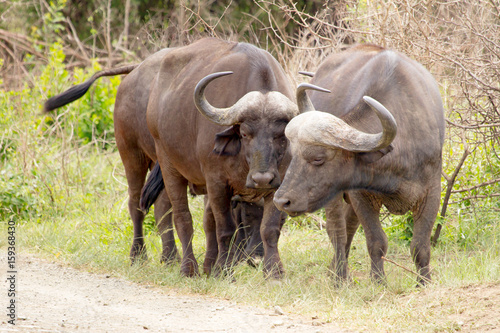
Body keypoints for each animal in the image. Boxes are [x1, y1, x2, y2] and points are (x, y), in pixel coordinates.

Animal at [274, 42, 446, 284]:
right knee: (338, 232)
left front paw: (424, 282)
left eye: (318, 158)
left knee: (348, 229)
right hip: (334, 194)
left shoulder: (431, 192)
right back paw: (339, 276)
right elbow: (376, 241)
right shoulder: (361, 196)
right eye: (294, 155)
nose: (281, 201)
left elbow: (420, 245)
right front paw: (378, 281)